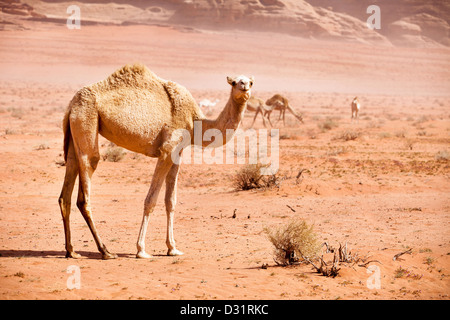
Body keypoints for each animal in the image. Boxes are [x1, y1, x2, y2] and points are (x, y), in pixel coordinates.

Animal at [57, 63, 253, 260]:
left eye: (250, 82)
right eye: (234, 82)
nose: (244, 86)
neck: (196, 121)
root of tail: (71, 106)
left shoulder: (177, 153)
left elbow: (170, 201)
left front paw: (172, 248)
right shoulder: (167, 150)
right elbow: (151, 200)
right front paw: (141, 249)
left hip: (74, 136)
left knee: (66, 192)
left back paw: (71, 251)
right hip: (86, 121)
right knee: (86, 187)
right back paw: (105, 251)